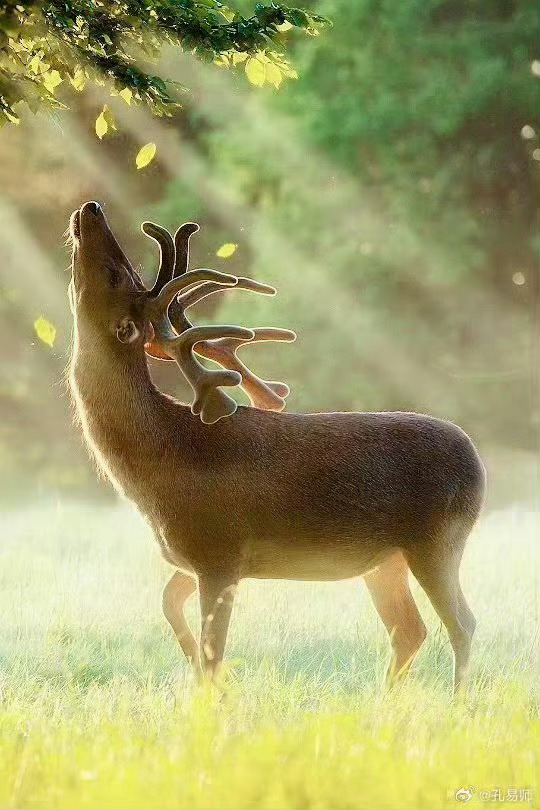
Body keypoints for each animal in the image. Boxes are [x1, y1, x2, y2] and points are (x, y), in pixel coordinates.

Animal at [68, 200, 486, 692]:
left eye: (117, 273)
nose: (91, 208)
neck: (161, 465)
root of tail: (477, 462)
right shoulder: (195, 558)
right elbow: (169, 604)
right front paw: (194, 667)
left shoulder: (220, 550)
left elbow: (213, 651)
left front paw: (210, 694)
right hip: (386, 561)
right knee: (410, 629)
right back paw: (386, 702)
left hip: (438, 541)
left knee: (461, 624)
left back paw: (457, 702)